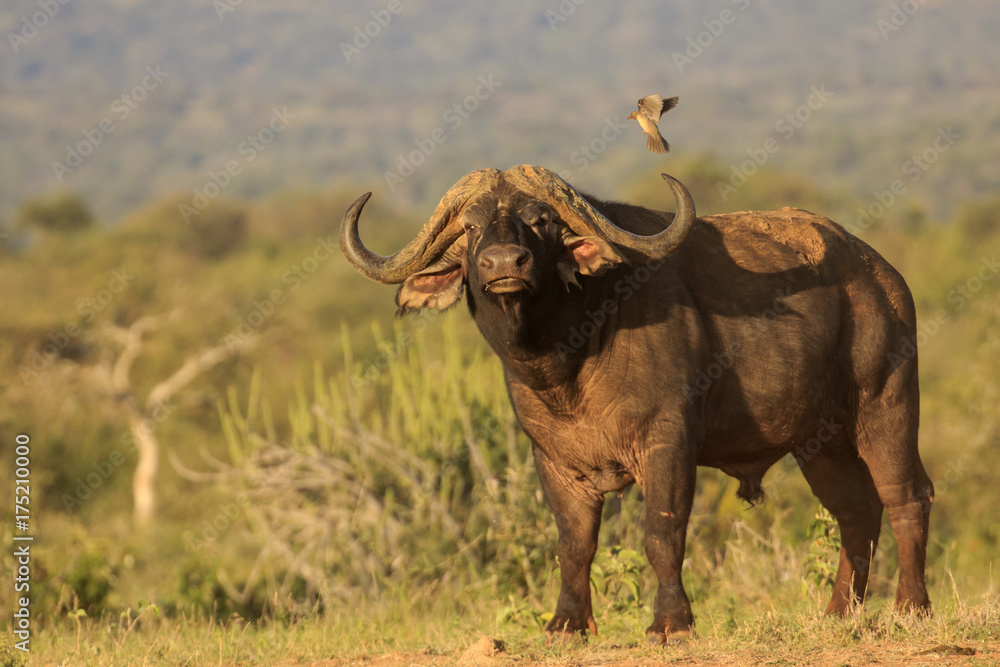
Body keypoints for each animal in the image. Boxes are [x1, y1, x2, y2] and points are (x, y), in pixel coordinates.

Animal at [339, 165, 933, 643]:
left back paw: (911, 609)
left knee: (906, 497)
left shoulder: (667, 443)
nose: (504, 262)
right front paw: (566, 625)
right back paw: (837, 614)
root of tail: (883, 276)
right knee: (856, 511)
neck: (569, 361)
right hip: (820, 442)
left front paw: (671, 624)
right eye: (468, 228)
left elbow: (661, 533)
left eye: (542, 221)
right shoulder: (553, 460)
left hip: (886, 405)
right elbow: (574, 543)